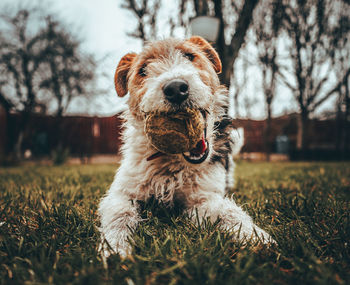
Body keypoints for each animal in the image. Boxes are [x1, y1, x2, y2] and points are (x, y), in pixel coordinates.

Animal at [98, 35, 274, 255]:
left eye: (190, 56)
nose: (175, 89)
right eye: (143, 70)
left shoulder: (201, 199)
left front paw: (256, 237)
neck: (170, 164)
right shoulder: (122, 193)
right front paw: (114, 249)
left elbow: (227, 212)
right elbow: (120, 216)